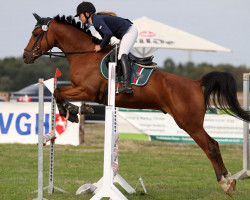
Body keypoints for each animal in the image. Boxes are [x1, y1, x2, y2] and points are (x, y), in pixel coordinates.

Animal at [22, 14, 249, 197]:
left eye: (36, 33)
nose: (25, 56)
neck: (85, 54)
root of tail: (195, 83)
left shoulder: (88, 90)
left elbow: (58, 93)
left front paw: (70, 111)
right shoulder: (81, 89)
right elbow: (58, 93)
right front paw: (76, 111)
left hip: (189, 123)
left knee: (211, 146)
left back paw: (226, 183)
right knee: (214, 145)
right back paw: (228, 180)